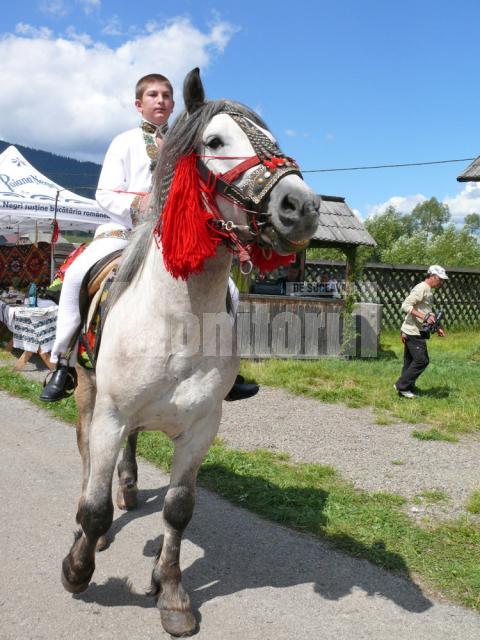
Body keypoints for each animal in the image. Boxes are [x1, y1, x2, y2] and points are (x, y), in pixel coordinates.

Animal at [62, 67, 320, 636]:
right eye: (216, 141)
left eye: (273, 138)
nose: (303, 207)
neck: (176, 322)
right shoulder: (111, 413)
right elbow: (95, 507)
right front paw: (77, 568)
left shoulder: (203, 425)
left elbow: (179, 510)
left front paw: (172, 592)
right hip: (88, 395)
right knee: (88, 463)